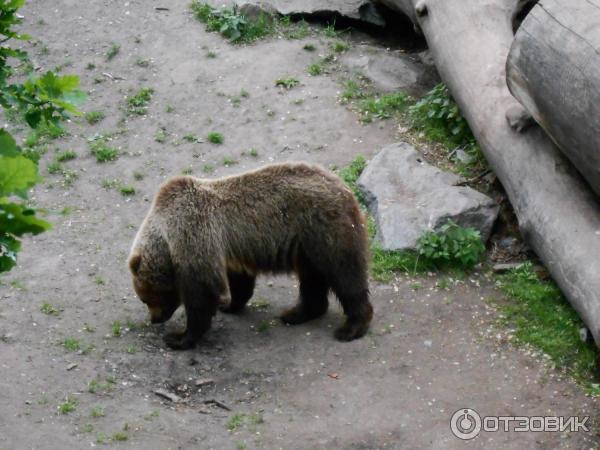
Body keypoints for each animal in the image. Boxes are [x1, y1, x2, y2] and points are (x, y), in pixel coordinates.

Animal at [129, 163, 372, 350]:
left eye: (145, 298)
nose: (155, 319)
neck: (167, 239)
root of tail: (345, 189)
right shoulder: (229, 252)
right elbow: (239, 282)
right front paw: (228, 304)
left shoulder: (193, 236)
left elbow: (201, 292)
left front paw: (180, 337)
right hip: (307, 247)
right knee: (313, 279)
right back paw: (296, 313)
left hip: (326, 232)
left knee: (346, 277)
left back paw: (351, 327)